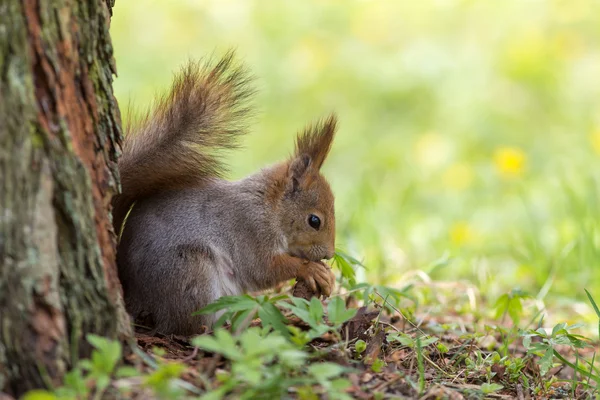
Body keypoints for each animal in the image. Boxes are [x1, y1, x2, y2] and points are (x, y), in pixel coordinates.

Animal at [112, 52, 338, 334]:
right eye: (314, 220)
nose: (330, 254)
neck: (268, 206)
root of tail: (134, 296)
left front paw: (328, 277)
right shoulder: (249, 231)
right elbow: (264, 269)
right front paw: (312, 270)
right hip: (190, 271)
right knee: (190, 326)